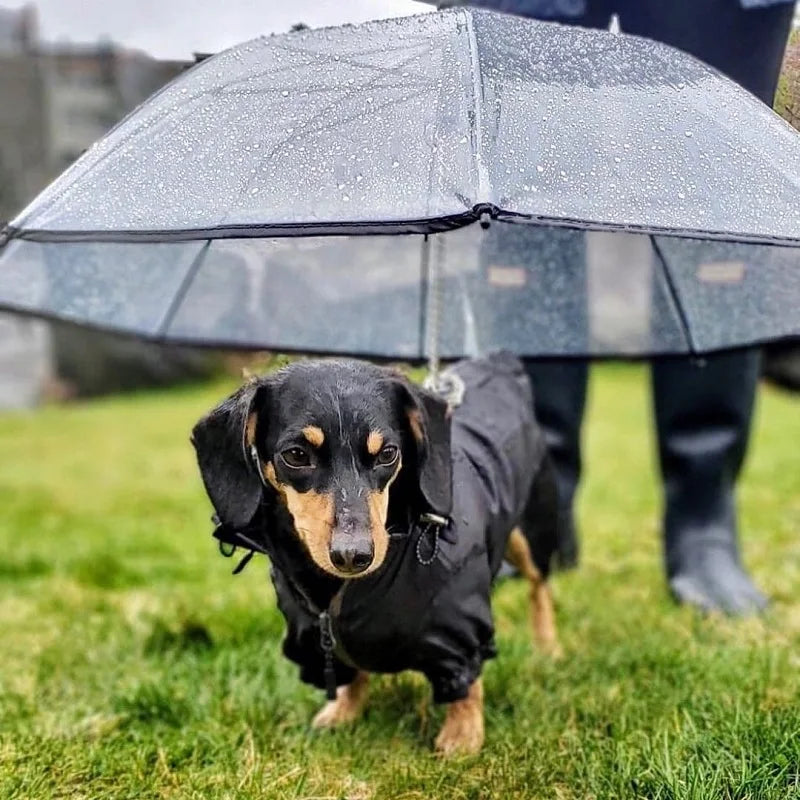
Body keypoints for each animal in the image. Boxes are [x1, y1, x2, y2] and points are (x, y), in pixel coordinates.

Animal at [191, 354, 560, 752]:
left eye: (387, 453)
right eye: (296, 455)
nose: (353, 555)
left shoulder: (460, 634)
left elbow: (467, 683)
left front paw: (462, 736)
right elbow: (349, 674)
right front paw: (343, 713)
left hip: (531, 535)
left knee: (539, 586)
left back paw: (548, 647)